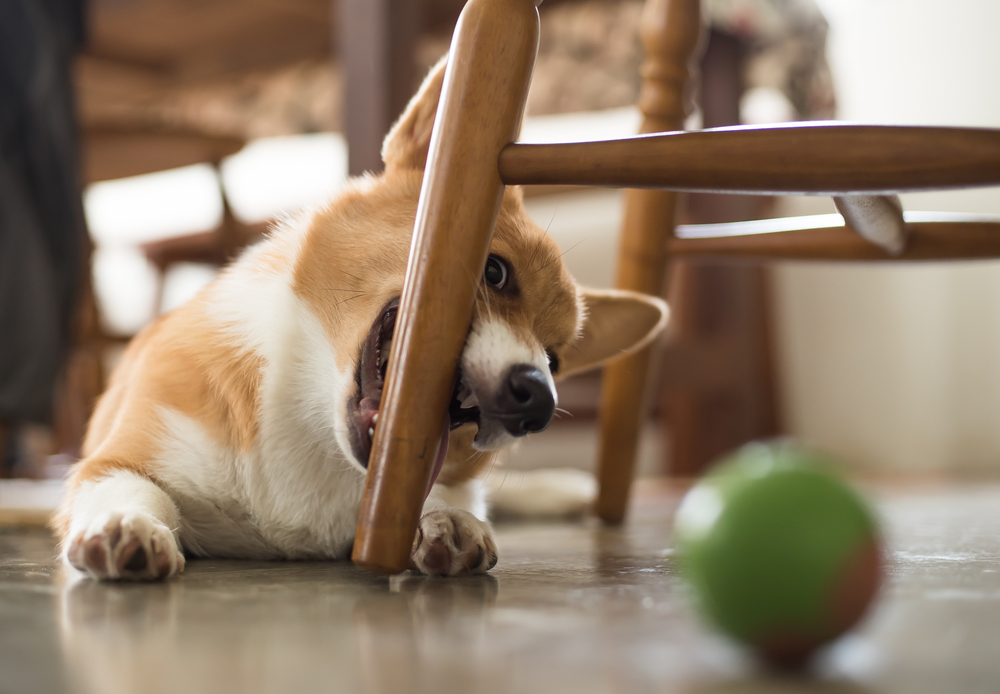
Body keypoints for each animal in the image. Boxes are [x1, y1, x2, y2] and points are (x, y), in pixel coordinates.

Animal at [52, 59, 664, 580]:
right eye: (495, 271)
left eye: (555, 360)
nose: (538, 400)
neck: (315, 421)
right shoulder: (116, 459)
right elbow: (134, 489)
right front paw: (127, 526)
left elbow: (449, 494)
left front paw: (450, 522)